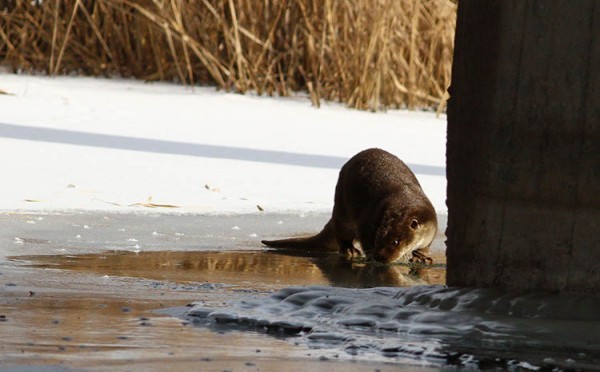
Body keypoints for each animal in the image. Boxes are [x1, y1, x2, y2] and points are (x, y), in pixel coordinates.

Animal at [262, 147, 436, 264]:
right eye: (378, 237)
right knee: (342, 233)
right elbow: (364, 237)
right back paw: (349, 250)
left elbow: (425, 247)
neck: (407, 196)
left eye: (395, 242)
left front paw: (422, 257)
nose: (380, 257)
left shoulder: (432, 228)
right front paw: (369, 255)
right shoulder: (368, 220)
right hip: (342, 209)